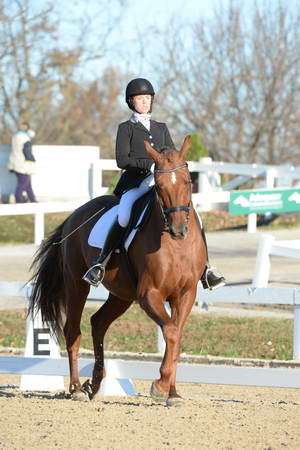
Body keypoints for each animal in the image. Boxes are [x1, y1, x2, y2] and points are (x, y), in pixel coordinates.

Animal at [28, 135, 206, 406]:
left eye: (187, 181)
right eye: (159, 185)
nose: (178, 230)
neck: (177, 246)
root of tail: (74, 215)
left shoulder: (185, 295)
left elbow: (175, 336)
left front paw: (173, 393)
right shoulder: (149, 294)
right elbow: (171, 333)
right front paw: (160, 386)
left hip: (121, 295)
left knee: (98, 322)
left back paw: (95, 383)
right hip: (76, 284)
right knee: (73, 331)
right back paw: (77, 388)